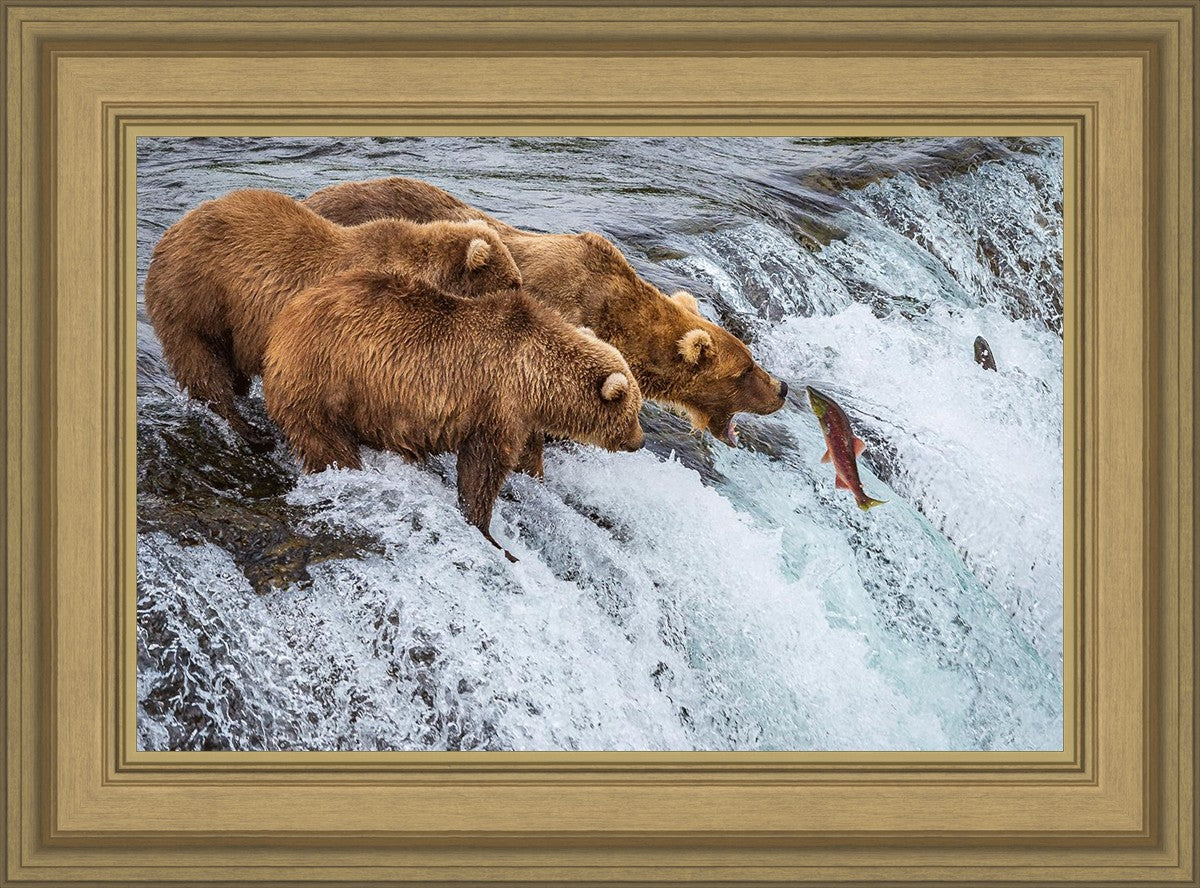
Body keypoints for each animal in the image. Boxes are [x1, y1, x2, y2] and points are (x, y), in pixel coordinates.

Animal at [144, 188, 523, 450]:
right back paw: (249, 431)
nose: (524, 298)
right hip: (196, 297)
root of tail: (170, 232)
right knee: (202, 365)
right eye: (513, 282)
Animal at [261, 269, 645, 560]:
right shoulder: (497, 402)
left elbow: (525, 455)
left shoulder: (522, 416)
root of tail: (284, 321)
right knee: (327, 443)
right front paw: (489, 533)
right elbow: (483, 468)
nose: (640, 441)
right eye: (634, 411)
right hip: (325, 381)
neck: (536, 377)